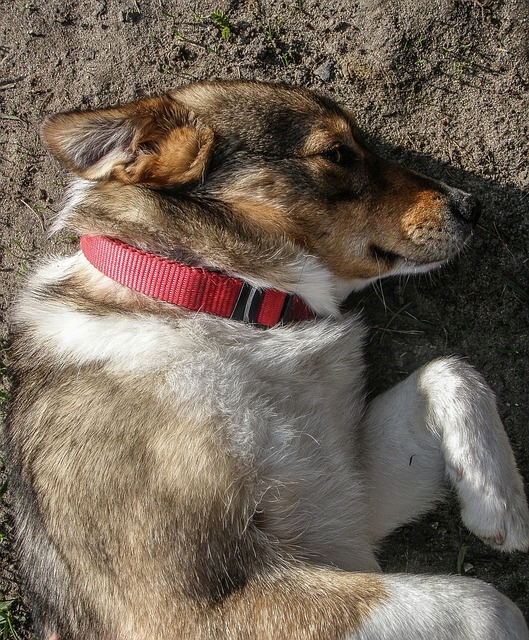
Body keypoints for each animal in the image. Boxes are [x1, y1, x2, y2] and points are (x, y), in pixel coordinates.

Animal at [6, 81, 528, 640]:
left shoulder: (343, 505)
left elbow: (450, 370)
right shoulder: (187, 611)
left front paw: (499, 502)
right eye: (337, 153)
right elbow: (486, 604)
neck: (218, 299)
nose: (473, 205)